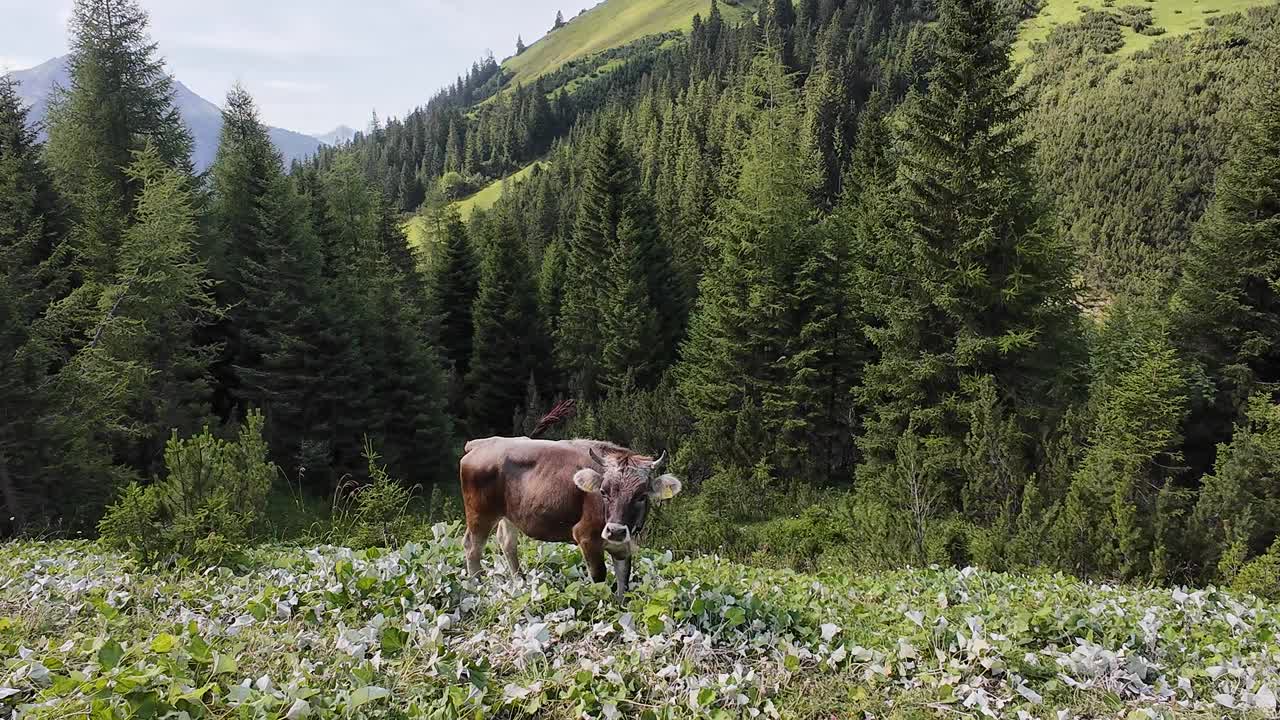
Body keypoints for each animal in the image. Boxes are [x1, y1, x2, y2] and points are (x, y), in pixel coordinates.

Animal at [458, 435, 680, 597]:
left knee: (506, 542)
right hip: (480, 513)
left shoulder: (623, 546)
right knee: (472, 546)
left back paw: (521, 583)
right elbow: (599, 576)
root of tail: (483, 443)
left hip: (508, 515)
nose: (615, 531)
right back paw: (476, 587)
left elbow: (623, 581)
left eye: (641, 496)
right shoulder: (586, 537)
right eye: (603, 492)